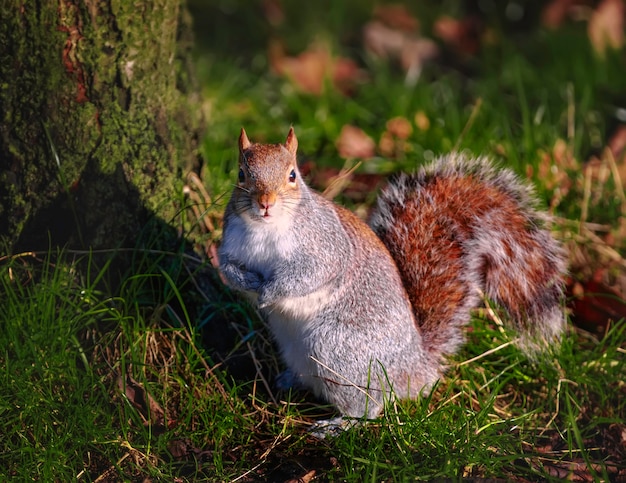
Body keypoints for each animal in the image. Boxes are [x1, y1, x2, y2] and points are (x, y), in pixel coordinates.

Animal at [219, 126, 564, 422]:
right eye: (241, 174)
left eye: (293, 175)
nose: (265, 203)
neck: (265, 229)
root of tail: (415, 367)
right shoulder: (230, 245)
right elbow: (227, 269)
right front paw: (248, 282)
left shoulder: (326, 247)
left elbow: (310, 274)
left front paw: (270, 292)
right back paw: (289, 380)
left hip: (336, 351)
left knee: (372, 404)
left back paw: (340, 424)